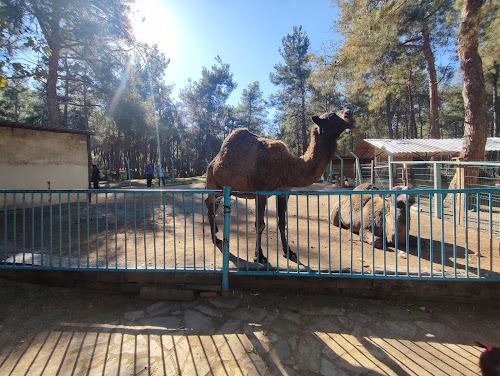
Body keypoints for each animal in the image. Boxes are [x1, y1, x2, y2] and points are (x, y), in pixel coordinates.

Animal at [205, 108, 354, 264]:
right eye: (331, 117)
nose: (349, 114)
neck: (286, 167)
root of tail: (212, 162)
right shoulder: (260, 193)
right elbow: (260, 224)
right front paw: (259, 256)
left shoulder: (284, 193)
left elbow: (282, 223)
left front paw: (289, 252)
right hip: (212, 181)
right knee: (208, 203)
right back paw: (215, 238)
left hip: (220, 189)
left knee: (213, 205)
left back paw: (216, 234)